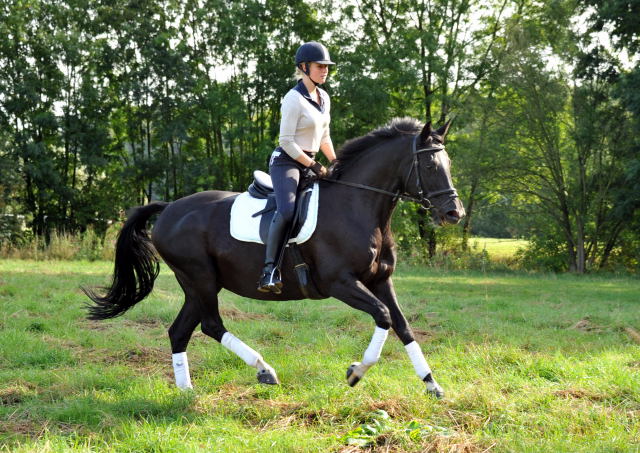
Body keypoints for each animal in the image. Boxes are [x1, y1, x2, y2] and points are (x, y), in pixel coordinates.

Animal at [85, 117, 464, 400]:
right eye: (430, 163)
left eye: (448, 162)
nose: (454, 213)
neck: (359, 206)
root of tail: (169, 209)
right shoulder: (340, 283)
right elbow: (383, 316)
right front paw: (355, 372)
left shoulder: (380, 280)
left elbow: (402, 325)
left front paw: (432, 384)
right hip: (200, 279)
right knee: (211, 325)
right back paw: (264, 370)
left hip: (198, 285)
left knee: (180, 331)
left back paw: (186, 391)